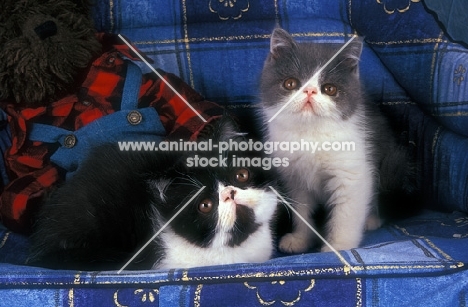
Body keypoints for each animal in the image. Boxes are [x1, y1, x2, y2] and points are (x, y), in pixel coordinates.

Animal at [260, 28, 416, 255]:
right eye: (291, 83)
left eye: (329, 89)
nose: (309, 91)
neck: (311, 135)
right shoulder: (295, 179)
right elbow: (302, 210)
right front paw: (300, 239)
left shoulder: (352, 172)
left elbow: (346, 213)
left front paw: (339, 247)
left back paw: (371, 219)